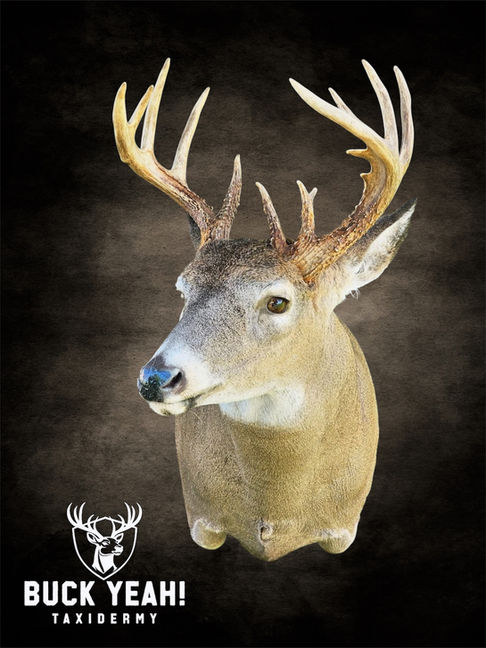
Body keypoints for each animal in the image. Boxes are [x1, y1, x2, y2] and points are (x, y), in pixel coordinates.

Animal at [112, 58, 415, 561]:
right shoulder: (202, 517)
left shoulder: (342, 525)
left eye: (277, 301)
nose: (156, 378)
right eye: (182, 290)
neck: (277, 512)